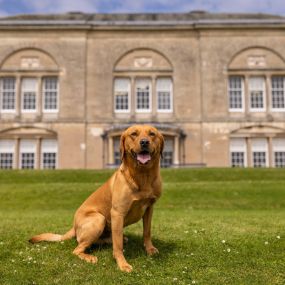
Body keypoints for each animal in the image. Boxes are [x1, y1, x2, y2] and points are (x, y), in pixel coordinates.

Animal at [29, 123, 163, 270]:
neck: (142, 176)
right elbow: (118, 245)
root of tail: (74, 226)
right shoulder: (117, 213)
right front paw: (122, 263)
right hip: (99, 219)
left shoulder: (149, 208)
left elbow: (147, 232)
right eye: (134, 134)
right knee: (77, 249)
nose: (144, 142)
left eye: (152, 134)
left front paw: (150, 249)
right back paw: (89, 256)